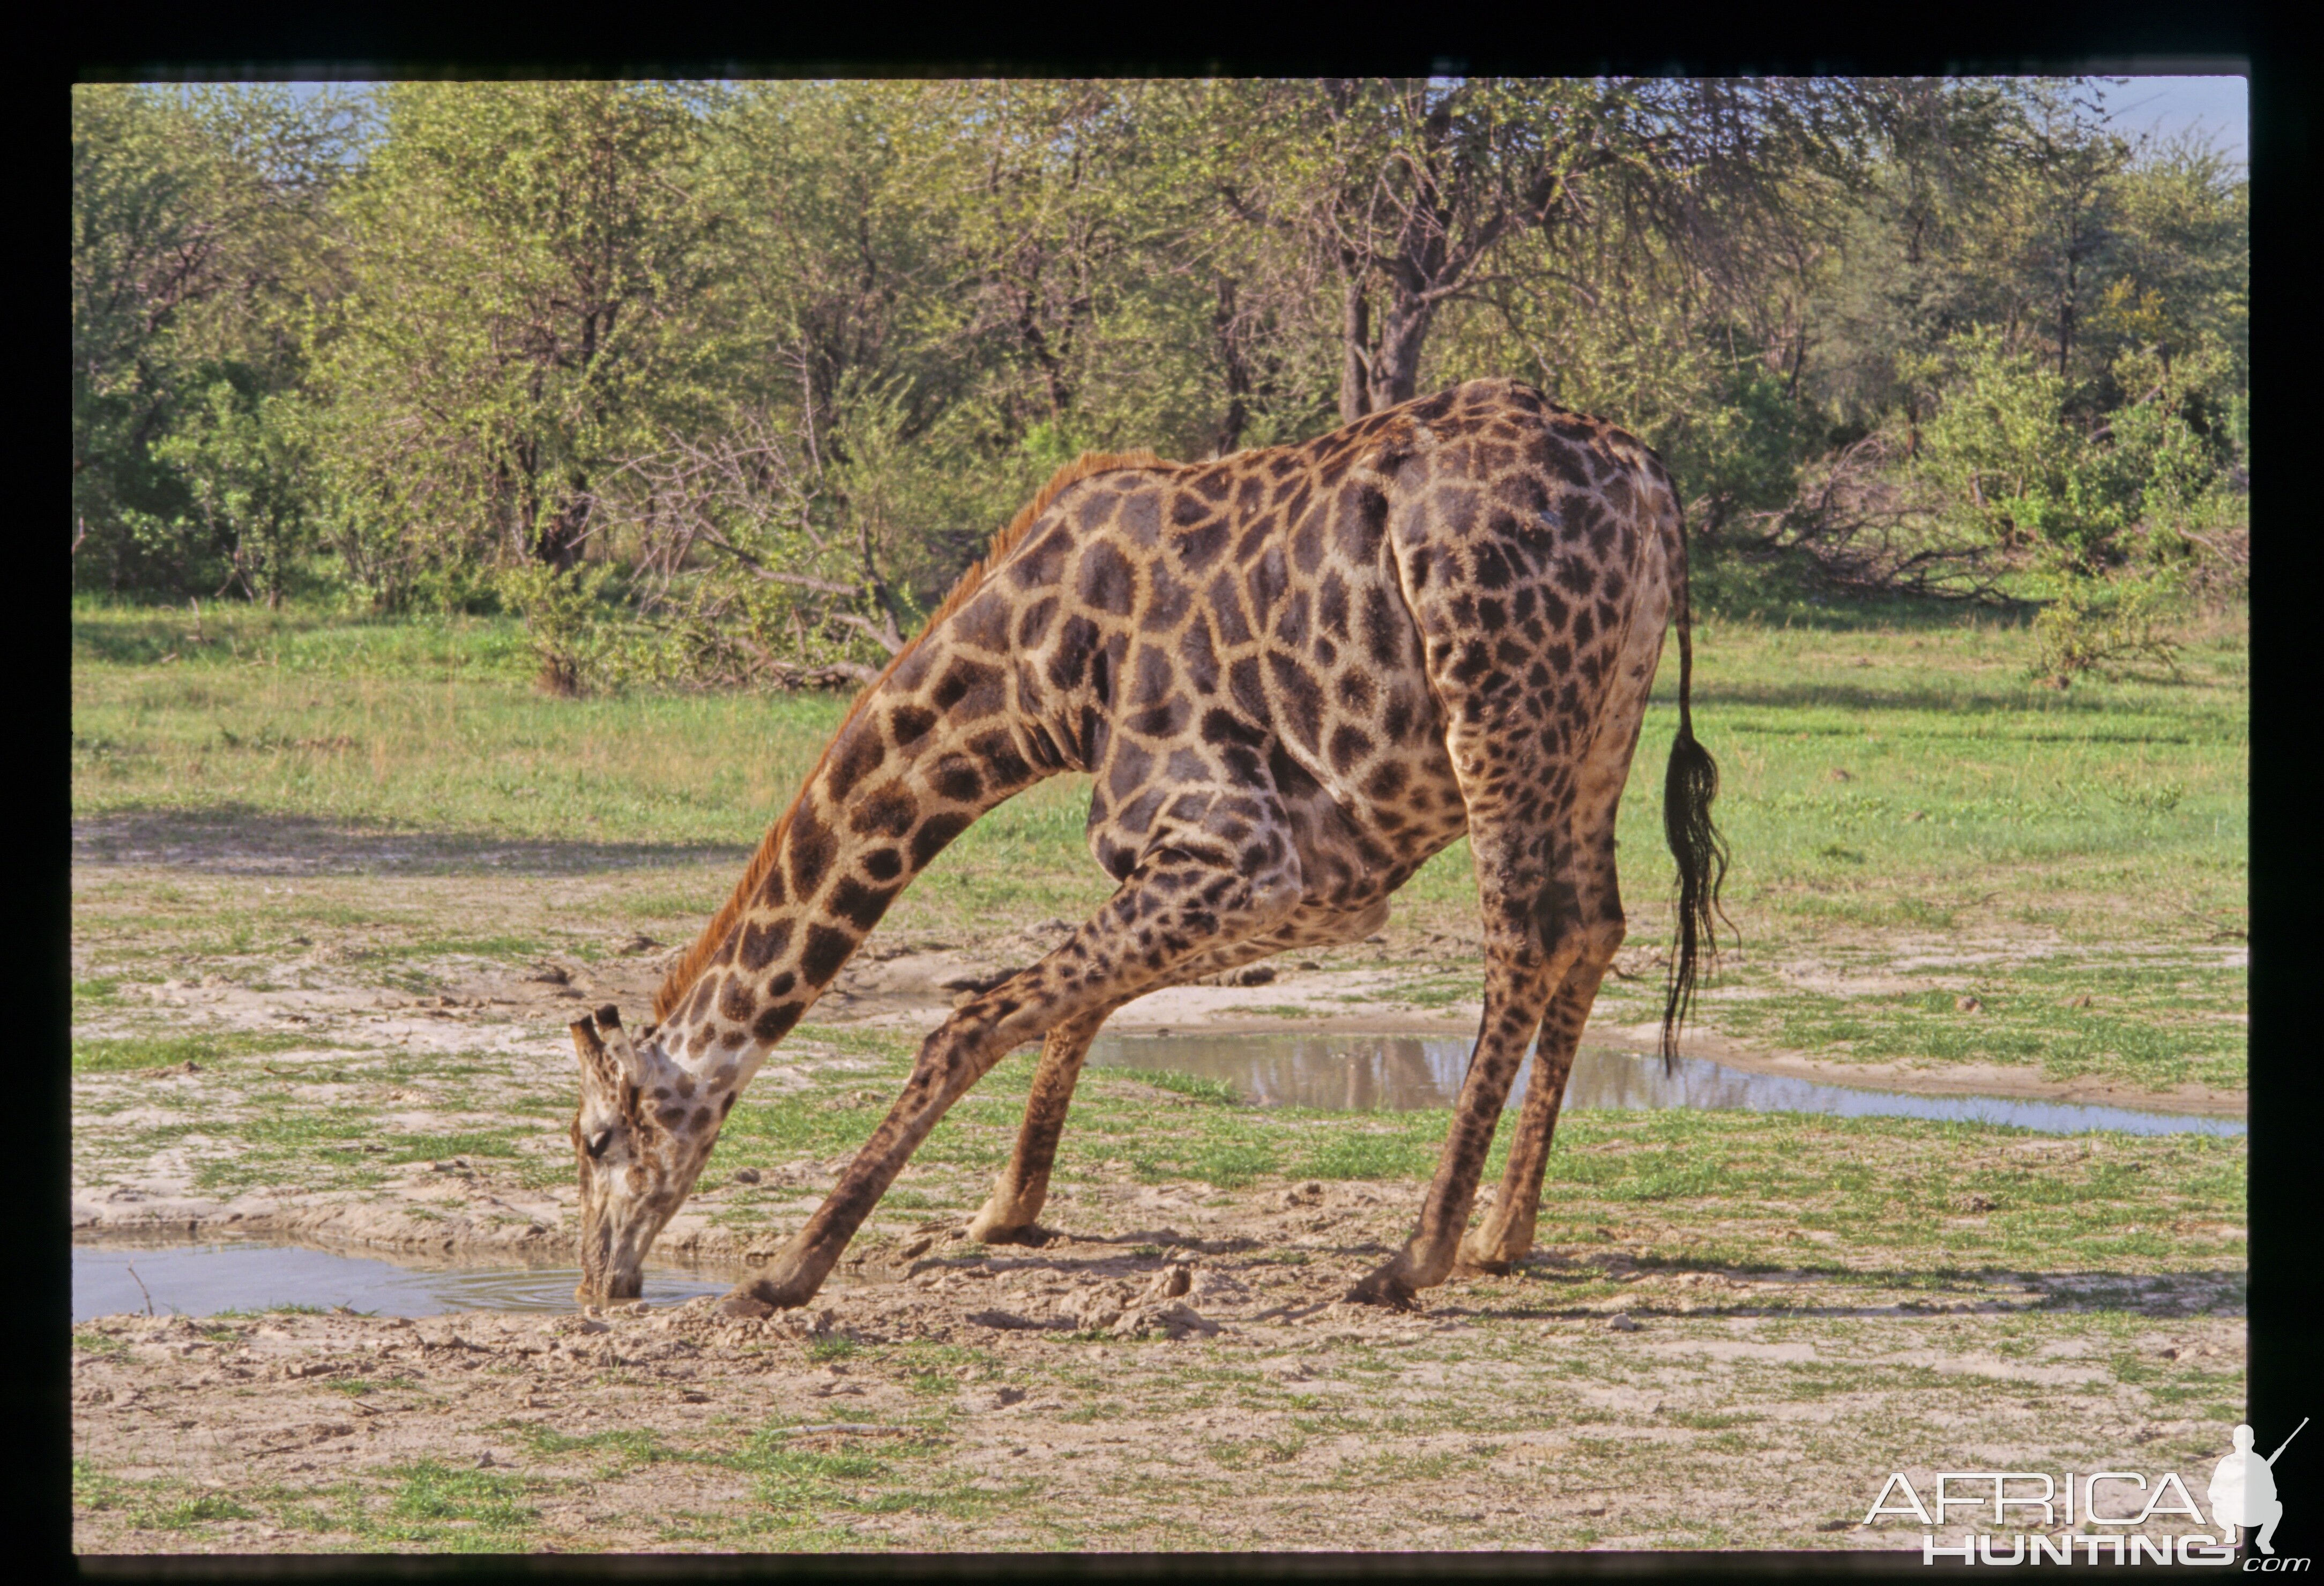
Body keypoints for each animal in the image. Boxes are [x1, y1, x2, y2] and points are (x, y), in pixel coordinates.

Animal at [562, 374, 1729, 1312]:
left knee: (1524, 937)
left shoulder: (1241, 851)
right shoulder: (1314, 882)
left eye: (594, 1139)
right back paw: (1500, 1234)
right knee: (1591, 924)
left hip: (1497, 707)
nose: (598, 1282)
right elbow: (1073, 1004)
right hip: (1597, 729)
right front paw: (1006, 1208)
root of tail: (1647, 481)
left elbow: (973, 1017)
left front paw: (787, 1269)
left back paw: (1412, 1257)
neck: (1042, 676)